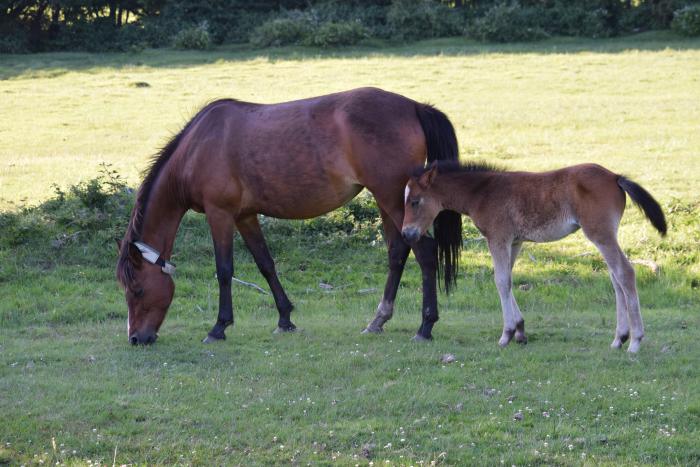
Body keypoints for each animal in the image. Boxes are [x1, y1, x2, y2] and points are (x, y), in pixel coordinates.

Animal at [117, 88, 462, 346]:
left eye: (137, 290)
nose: (136, 338)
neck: (197, 148)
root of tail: (414, 106)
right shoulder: (245, 216)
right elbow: (265, 264)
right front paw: (285, 319)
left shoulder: (220, 214)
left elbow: (224, 270)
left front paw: (218, 327)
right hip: (387, 200)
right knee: (397, 253)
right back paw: (378, 320)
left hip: (392, 198)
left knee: (424, 251)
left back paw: (425, 326)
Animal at [402, 162, 664, 354]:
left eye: (414, 201)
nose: (406, 234)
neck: (484, 192)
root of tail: (615, 177)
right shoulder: (515, 242)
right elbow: (507, 279)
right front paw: (519, 330)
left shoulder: (498, 238)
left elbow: (501, 281)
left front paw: (506, 334)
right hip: (607, 234)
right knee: (615, 279)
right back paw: (619, 338)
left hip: (599, 233)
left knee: (624, 273)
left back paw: (635, 341)